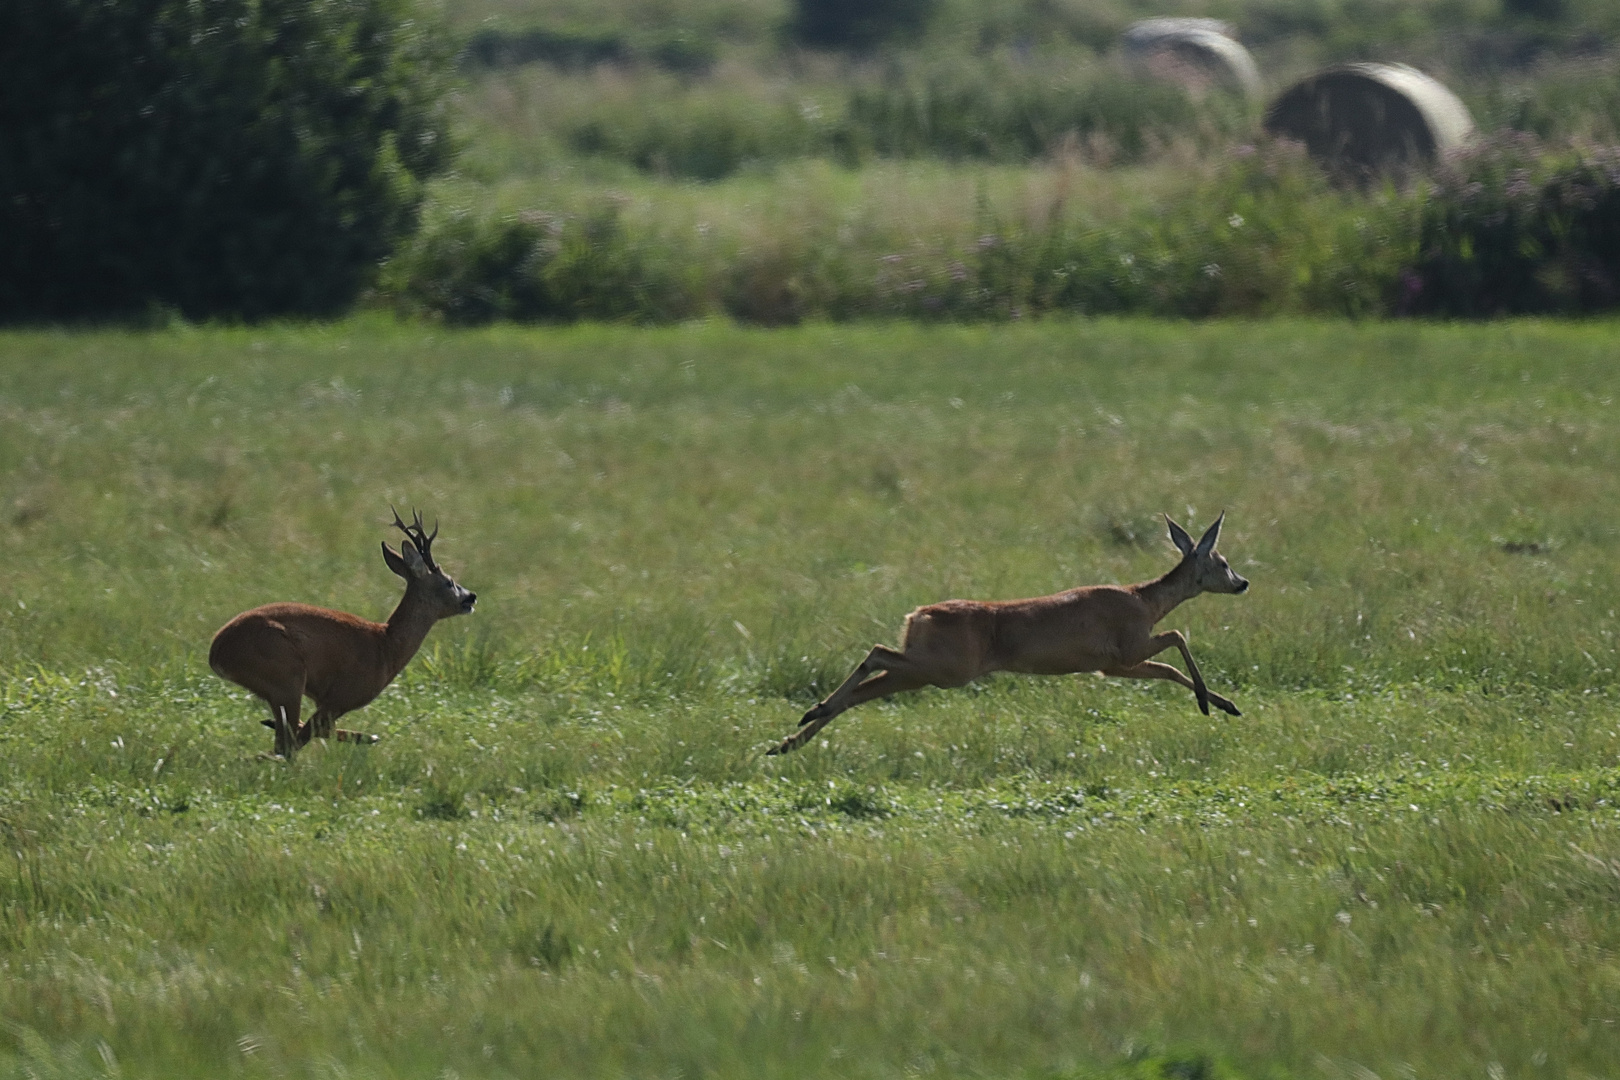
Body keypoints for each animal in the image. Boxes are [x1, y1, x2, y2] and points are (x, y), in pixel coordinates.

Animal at [210, 508, 473, 757]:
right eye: (449, 582)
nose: (471, 597)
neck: (386, 646)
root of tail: (216, 652)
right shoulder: (339, 698)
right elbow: (309, 733)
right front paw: (369, 737)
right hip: (286, 676)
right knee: (288, 744)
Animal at [764, 514, 1244, 751]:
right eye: (1221, 562)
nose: (1243, 582)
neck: (1145, 601)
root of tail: (917, 615)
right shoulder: (1126, 648)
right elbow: (1178, 637)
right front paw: (1211, 702)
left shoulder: (1114, 665)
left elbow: (1169, 670)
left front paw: (1220, 704)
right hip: (949, 667)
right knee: (877, 652)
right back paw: (808, 717)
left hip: (926, 669)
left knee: (867, 687)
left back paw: (791, 738)